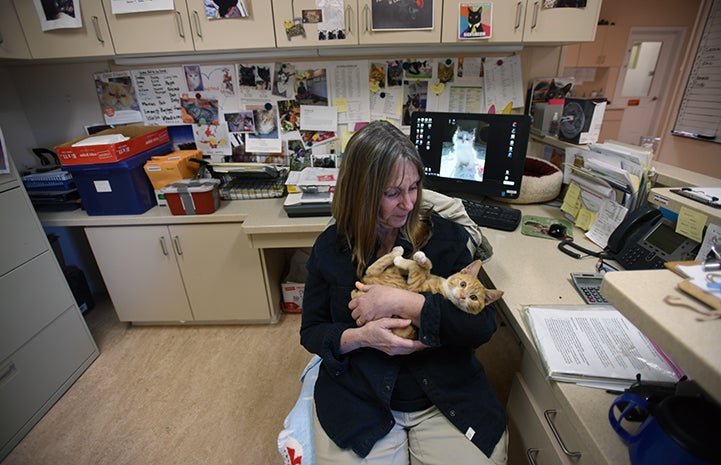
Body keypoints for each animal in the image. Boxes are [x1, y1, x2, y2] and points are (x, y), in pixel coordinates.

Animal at [352, 245, 500, 338]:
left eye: (473, 298)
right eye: (463, 284)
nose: (463, 296)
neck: (443, 287)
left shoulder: (414, 287)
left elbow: (416, 268)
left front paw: (405, 260)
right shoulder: (426, 275)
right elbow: (426, 266)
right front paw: (420, 258)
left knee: (372, 268)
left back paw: (397, 253)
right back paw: (398, 252)